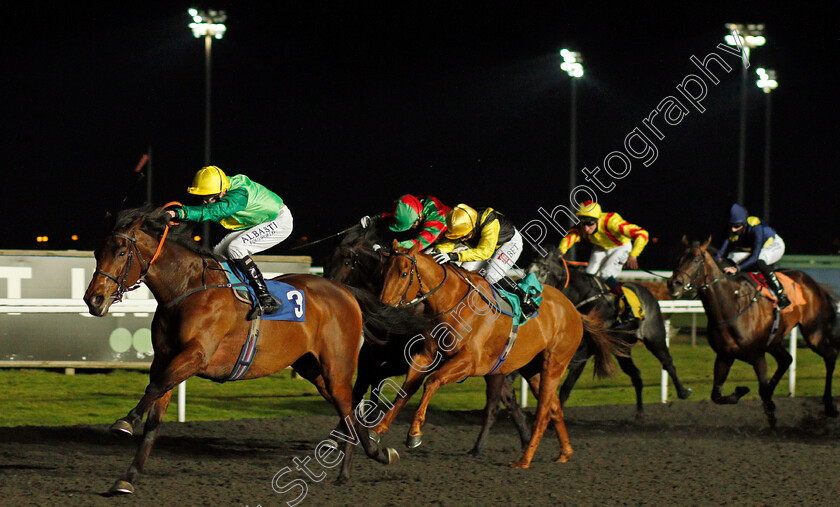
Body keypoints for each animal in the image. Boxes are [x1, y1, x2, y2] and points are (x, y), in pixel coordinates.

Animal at [83, 207, 424, 496]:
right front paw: (127, 478)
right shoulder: (167, 360)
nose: (93, 300)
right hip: (310, 368)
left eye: (122, 251)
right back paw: (376, 454)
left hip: (336, 366)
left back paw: (351, 468)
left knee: (347, 404)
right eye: (98, 252)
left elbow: (153, 388)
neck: (187, 290)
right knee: (349, 408)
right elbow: (155, 415)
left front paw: (125, 422)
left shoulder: (194, 356)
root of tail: (344, 291)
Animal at [370, 242, 624, 468]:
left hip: (555, 364)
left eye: (404, 273)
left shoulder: (469, 362)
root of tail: (575, 311)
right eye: (382, 272)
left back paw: (524, 460)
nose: (383, 306)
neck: (453, 301)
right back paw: (565, 452)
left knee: (543, 413)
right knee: (554, 408)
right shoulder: (426, 355)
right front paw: (377, 430)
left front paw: (414, 433)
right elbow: (406, 389)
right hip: (533, 369)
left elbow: (432, 382)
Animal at [668, 236, 836, 426]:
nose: (674, 284)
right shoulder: (725, 355)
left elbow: (761, 390)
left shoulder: (757, 356)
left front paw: (771, 416)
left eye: (696, 260)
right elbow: (716, 395)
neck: (731, 306)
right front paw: (741, 391)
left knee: (830, 356)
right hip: (774, 341)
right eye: (679, 258)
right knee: (786, 359)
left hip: (813, 332)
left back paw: (829, 406)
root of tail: (813, 282)